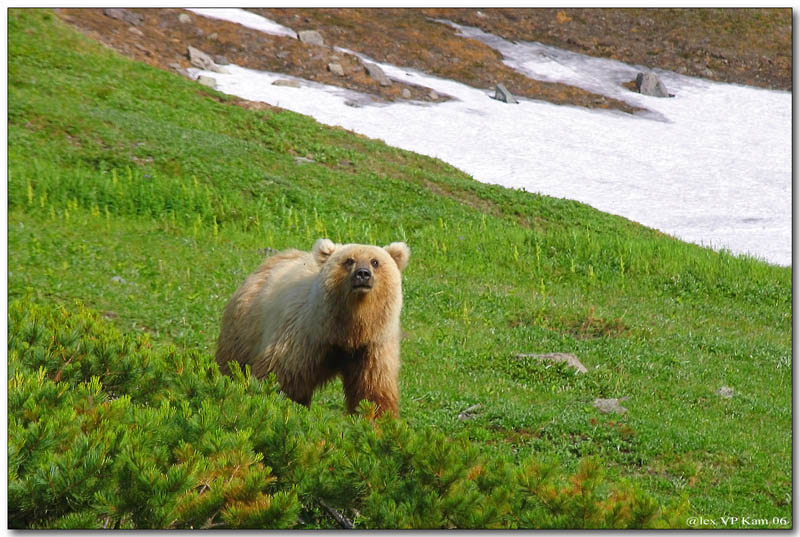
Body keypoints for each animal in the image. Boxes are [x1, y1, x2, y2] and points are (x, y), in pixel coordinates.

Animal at [216, 238, 410, 417]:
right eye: (349, 260)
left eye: (375, 261)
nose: (363, 274)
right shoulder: (302, 337)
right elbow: (281, 380)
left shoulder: (373, 347)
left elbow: (372, 391)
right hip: (245, 329)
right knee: (232, 365)